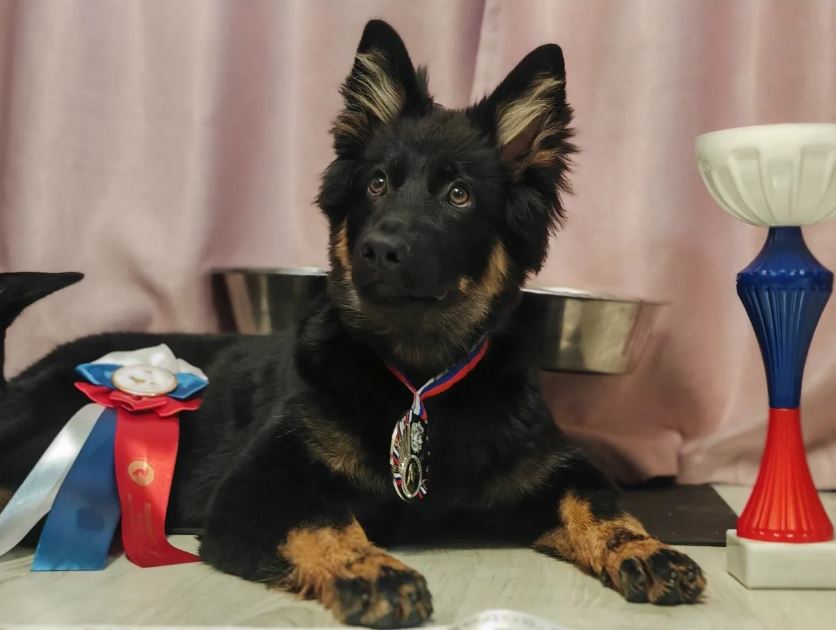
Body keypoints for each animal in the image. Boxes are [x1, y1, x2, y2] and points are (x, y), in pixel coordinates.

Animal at [0, 20, 704, 628]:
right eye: (377, 184)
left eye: (459, 195)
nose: (379, 249)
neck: (416, 378)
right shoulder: (254, 489)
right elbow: (326, 519)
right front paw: (371, 571)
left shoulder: (554, 472)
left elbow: (604, 509)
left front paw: (646, 550)